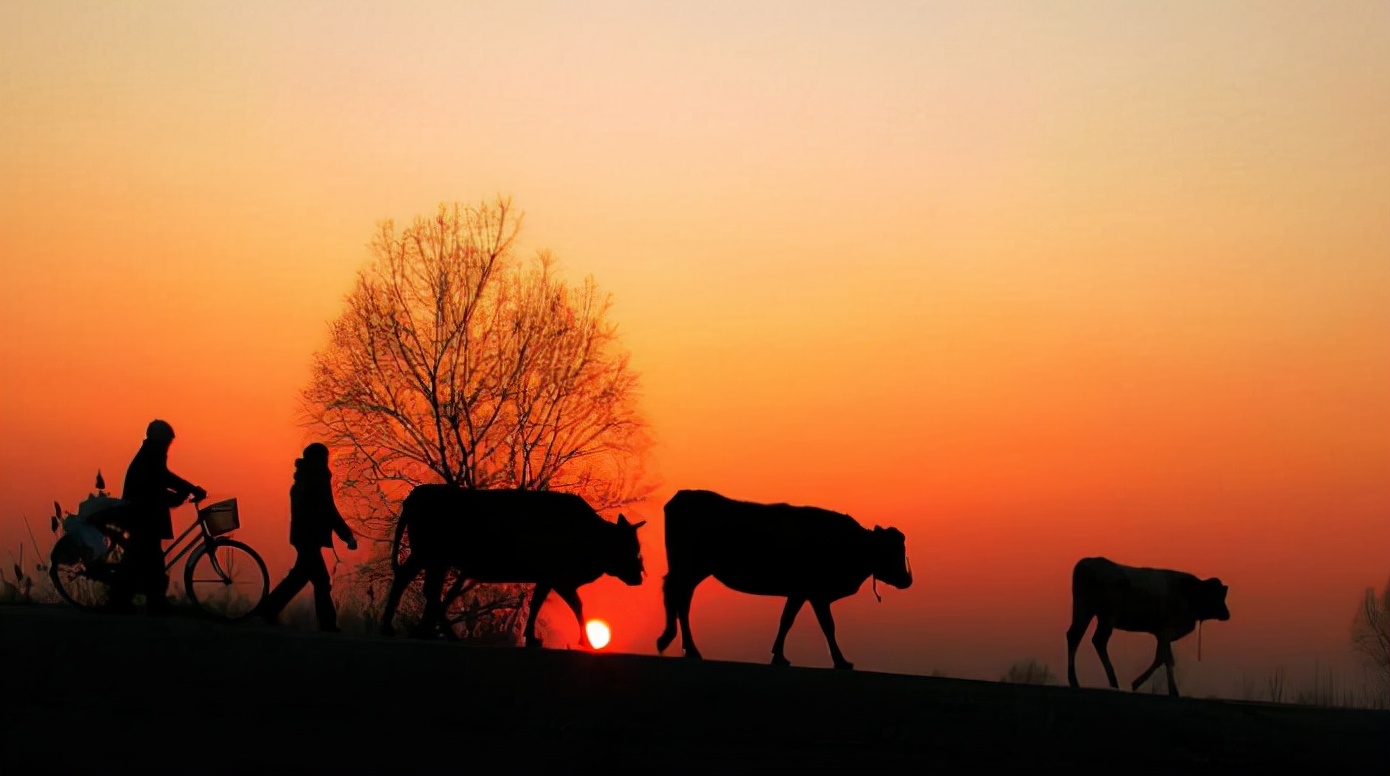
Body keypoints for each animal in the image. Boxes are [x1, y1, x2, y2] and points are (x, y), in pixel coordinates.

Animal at [375, 486, 644, 650]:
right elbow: (578, 606)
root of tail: (415, 496)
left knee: (414, 583)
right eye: (630, 547)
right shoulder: (559, 577)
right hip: (430, 556)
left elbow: (535, 605)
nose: (640, 576)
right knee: (422, 586)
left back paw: (405, 629)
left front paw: (532, 638)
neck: (590, 537)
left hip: (431, 558)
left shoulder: (546, 578)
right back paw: (441, 634)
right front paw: (586, 642)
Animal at [658, 489, 917, 673]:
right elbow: (827, 626)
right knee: (678, 598)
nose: (905, 579)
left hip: (692, 571)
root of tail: (682, 496)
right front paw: (841, 661)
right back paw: (678, 644)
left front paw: (779, 655)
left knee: (680, 600)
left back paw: (683, 646)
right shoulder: (816, 593)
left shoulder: (799, 593)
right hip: (688, 568)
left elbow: (786, 621)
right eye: (890, 550)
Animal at [1061, 559, 1228, 700]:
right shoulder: (1167, 631)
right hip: (1103, 616)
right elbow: (1166, 659)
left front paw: (1141, 683)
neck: (1189, 593)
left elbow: (1161, 658)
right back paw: (1108, 680)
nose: (1227, 614)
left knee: (1075, 636)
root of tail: (1087, 562)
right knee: (1096, 640)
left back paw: (1075, 680)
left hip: (1086, 611)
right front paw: (1170, 690)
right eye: (1217, 596)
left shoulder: (1161, 634)